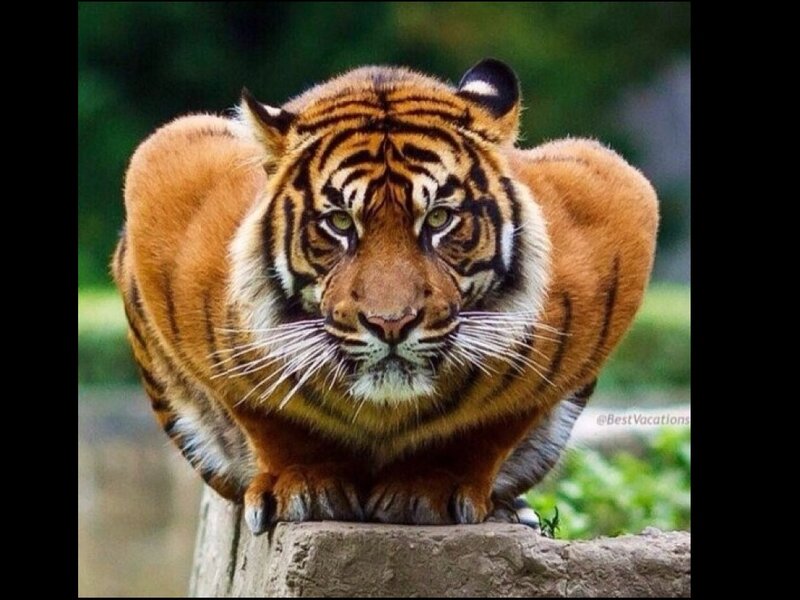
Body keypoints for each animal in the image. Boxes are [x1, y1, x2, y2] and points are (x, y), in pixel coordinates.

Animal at [112, 58, 658, 534]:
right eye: (339, 223)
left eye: (439, 219)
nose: (391, 324)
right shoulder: (166, 166)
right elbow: (264, 410)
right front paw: (306, 485)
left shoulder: (617, 197)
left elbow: (494, 422)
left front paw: (431, 489)